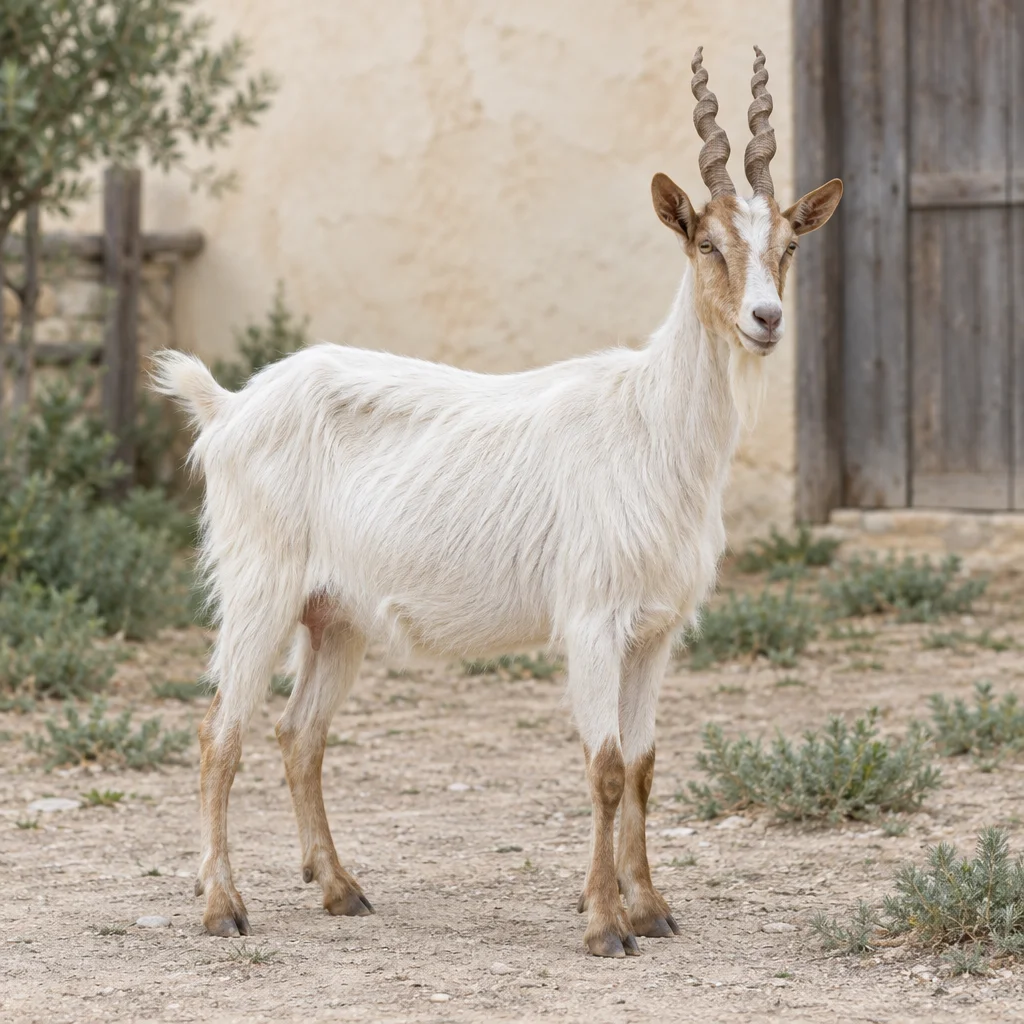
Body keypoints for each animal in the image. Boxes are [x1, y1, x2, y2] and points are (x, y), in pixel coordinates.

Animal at [152, 45, 842, 958]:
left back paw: (341, 889)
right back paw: (222, 906)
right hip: (257, 589)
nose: (765, 320)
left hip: (334, 616)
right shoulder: (592, 620)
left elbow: (646, 767)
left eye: (790, 243)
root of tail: (230, 406)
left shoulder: (657, 632)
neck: (651, 428)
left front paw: (652, 909)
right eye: (706, 241)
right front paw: (604, 925)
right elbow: (604, 767)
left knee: (299, 734)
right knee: (217, 736)